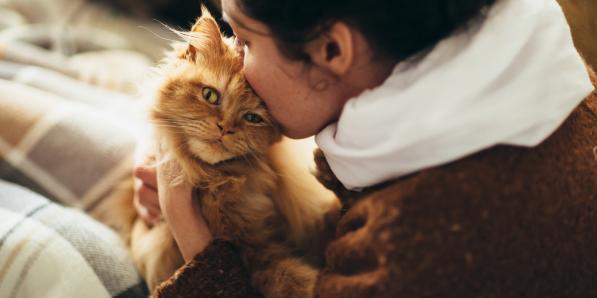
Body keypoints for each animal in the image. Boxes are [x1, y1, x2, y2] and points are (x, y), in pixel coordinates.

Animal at [98, 7, 340, 298]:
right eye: (210, 95)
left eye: (253, 118)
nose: (225, 129)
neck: (220, 184)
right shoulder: (254, 254)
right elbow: (292, 279)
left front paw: (331, 168)